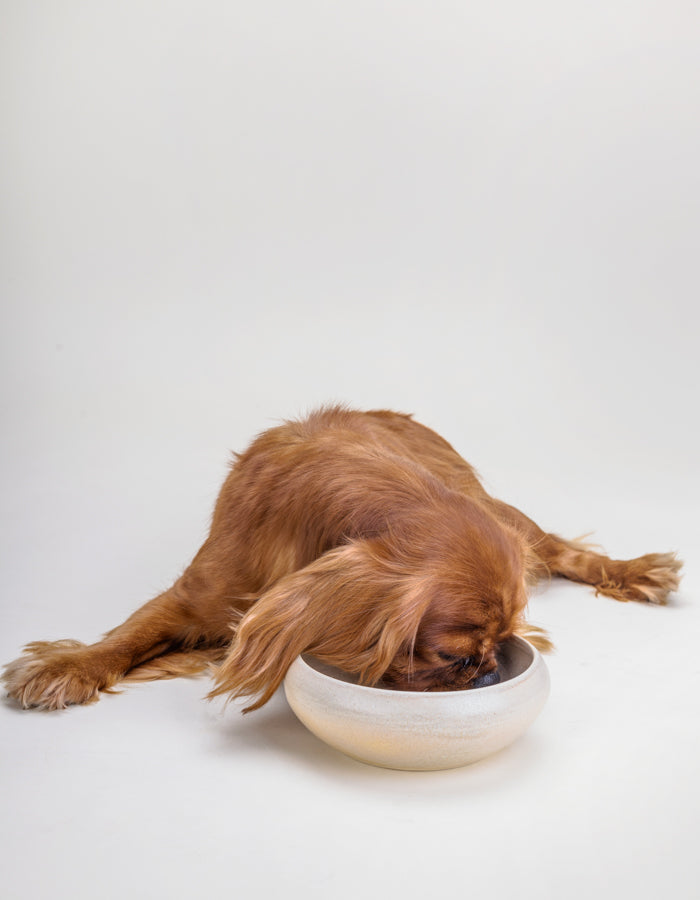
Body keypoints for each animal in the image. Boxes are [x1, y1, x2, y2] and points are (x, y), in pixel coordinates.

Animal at [0, 406, 680, 712]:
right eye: (455, 657)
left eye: (494, 649)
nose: (488, 670)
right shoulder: (196, 597)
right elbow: (130, 634)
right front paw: (67, 666)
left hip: (512, 518)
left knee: (563, 548)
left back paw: (635, 572)